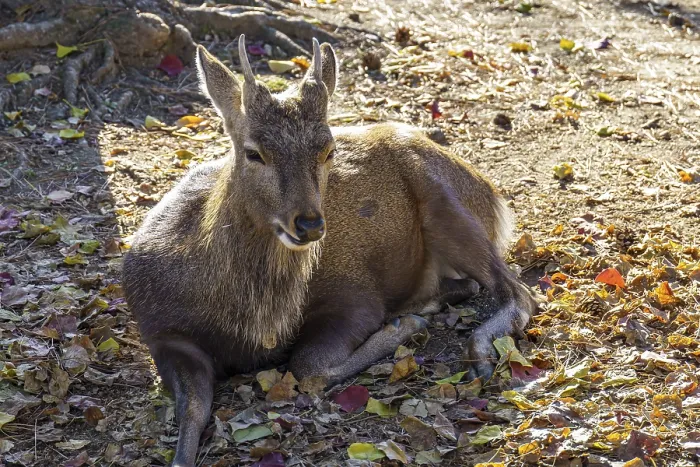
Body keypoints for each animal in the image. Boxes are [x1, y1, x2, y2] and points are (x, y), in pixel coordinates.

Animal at [121, 35, 538, 467]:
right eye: (253, 152)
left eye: (328, 150)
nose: (309, 224)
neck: (249, 323)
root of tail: (492, 195)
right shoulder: (161, 333)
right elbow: (192, 410)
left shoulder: (353, 294)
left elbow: (308, 367)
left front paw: (404, 328)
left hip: (446, 202)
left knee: (518, 290)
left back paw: (471, 348)